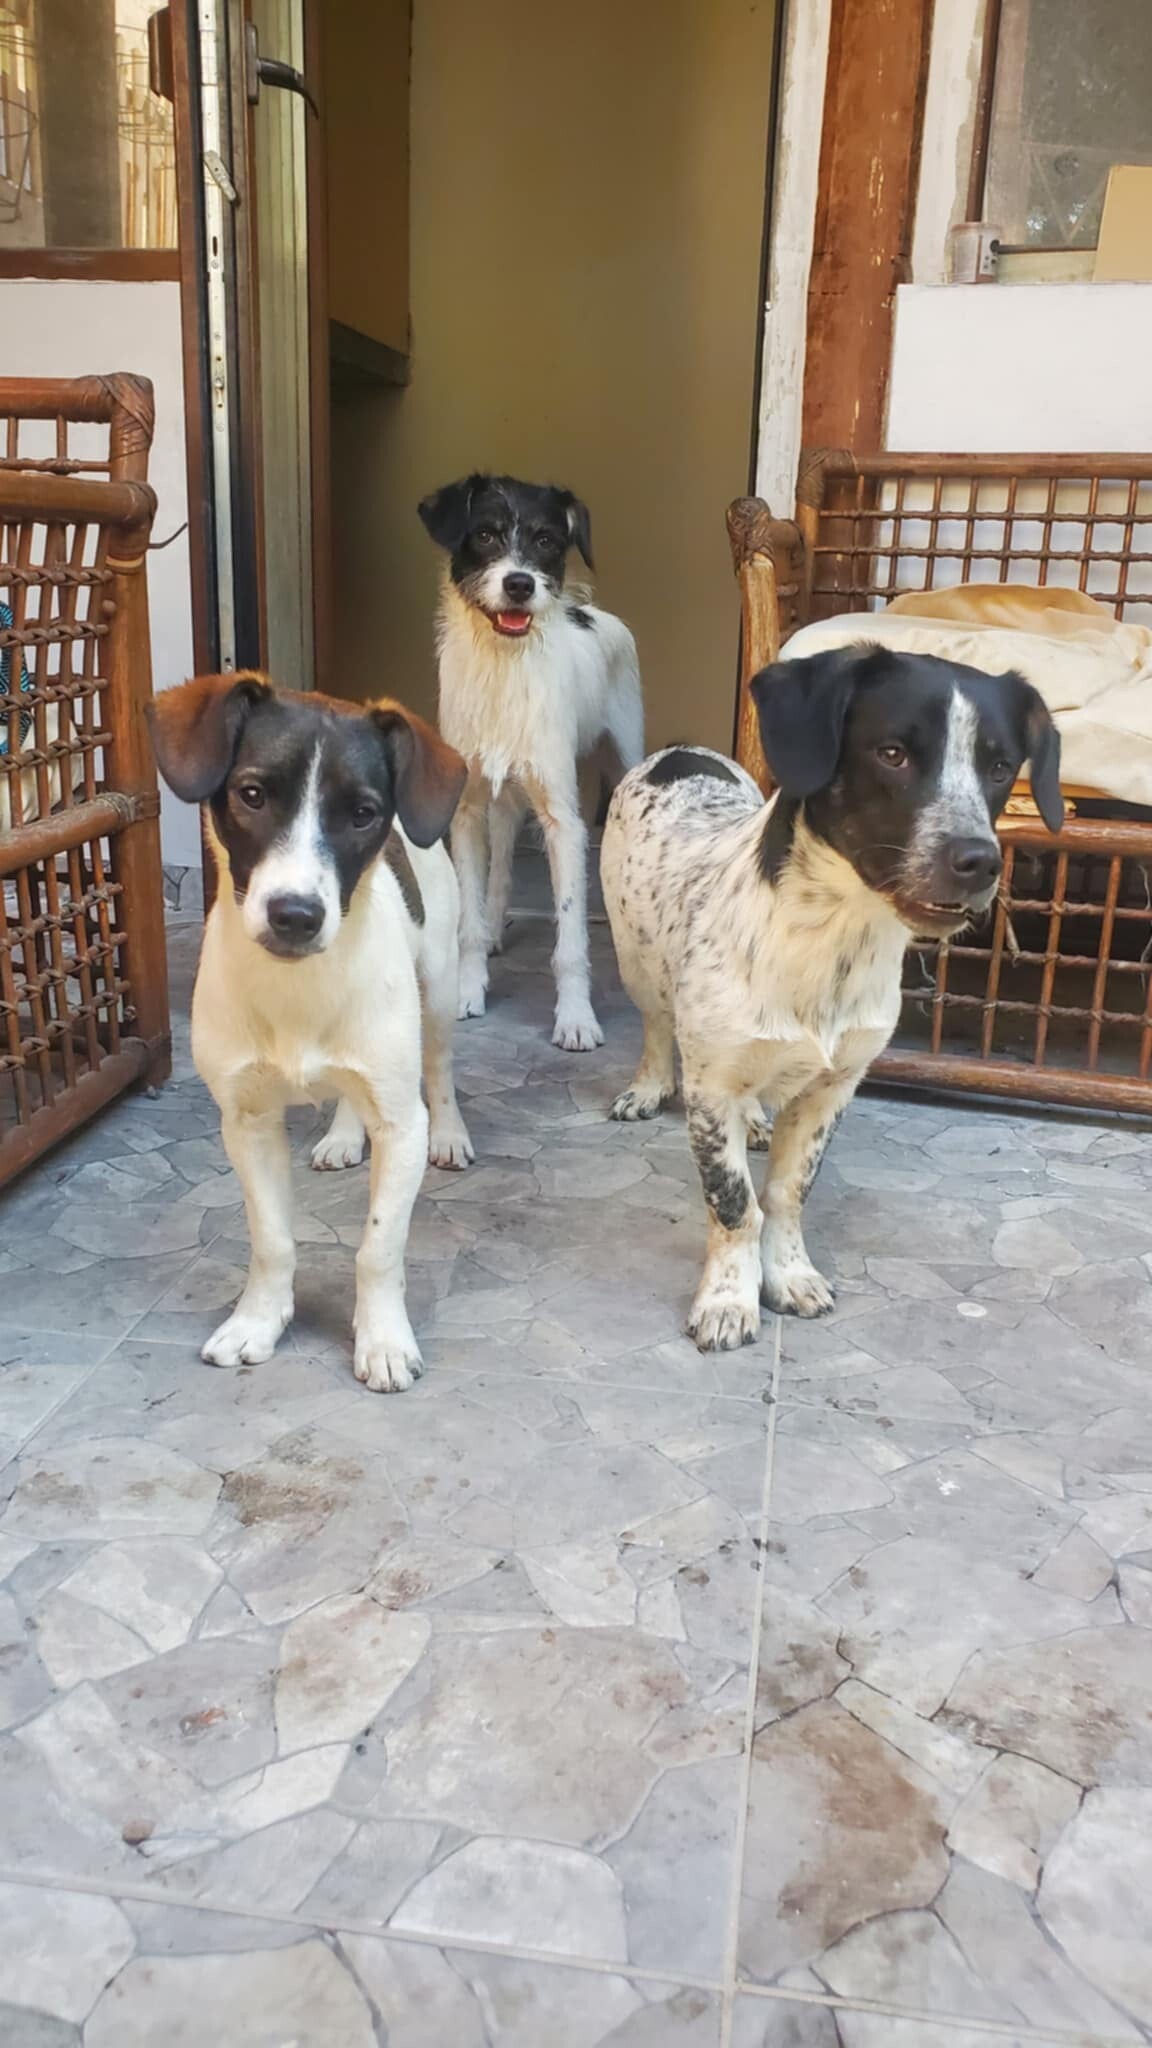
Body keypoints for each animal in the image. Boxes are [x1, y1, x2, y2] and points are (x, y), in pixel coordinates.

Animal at [148, 672, 472, 1392]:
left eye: (362, 814)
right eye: (252, 794)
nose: (295, 915)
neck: (299, 989)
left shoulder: (399, 1126)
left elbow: (379, 1247)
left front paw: (383, 1340)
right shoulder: (247, 1122)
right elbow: (271, 1240)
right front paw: (257, 1322)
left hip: (438, 990)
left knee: (439, 1069)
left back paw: (452, 1132)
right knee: (351, 1095)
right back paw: (344, 1136)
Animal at [419, 472, 643, 1050]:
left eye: (546, 540)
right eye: (485, 534)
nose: (520, 584)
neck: (505, 665)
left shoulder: (563, 819)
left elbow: (570, 939)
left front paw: (577, 1018)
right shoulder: (467, 811)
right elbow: (469, 918)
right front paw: (470, 989)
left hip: (626, 760)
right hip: (503, 799)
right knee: (499, 867)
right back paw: (496, 926)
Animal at [601, 645, 1064, 1352]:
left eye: (1001, 766)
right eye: (892, 753)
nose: (981, 862)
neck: (835, 934)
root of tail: (681, 751)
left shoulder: (833, 1087)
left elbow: (786, 1194)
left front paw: (788, 1274)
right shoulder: (710, 1088)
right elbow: (735, 1203)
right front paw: (729, 1299)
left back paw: (755, 1120)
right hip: (636, 961)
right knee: (655, 1026)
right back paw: (648, 1087)